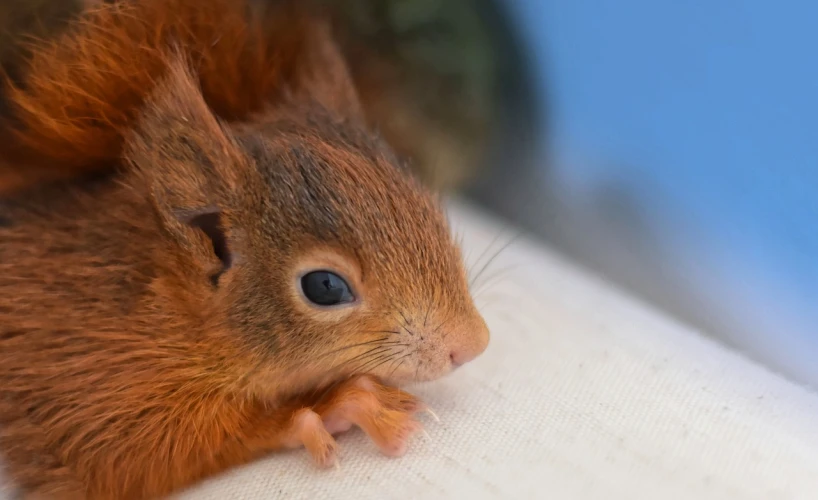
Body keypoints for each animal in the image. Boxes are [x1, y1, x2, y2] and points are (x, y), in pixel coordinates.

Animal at [0, 0, 488, 500]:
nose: (473, 344)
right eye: (325, 286)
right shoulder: (86, 381)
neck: (168, 312)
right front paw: (338, 404)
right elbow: (130, 459)